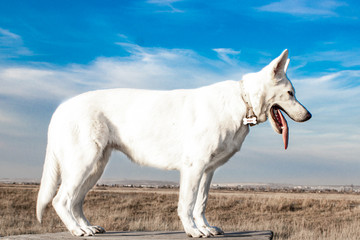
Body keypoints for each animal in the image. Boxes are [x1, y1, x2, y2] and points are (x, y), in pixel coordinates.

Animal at [37, 49, 312, 237]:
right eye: (290, 93)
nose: (309, 116)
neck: (242, 101)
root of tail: (60, 108)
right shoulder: (193, 168)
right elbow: (187, 203)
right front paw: (193, 230)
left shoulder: (207, 171)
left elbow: (201, 203)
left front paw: (206, 227)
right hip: (84, 164)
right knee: (61, 200)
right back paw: (77, 230)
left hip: (94, 168)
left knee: (75, 201)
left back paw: (87, 227)